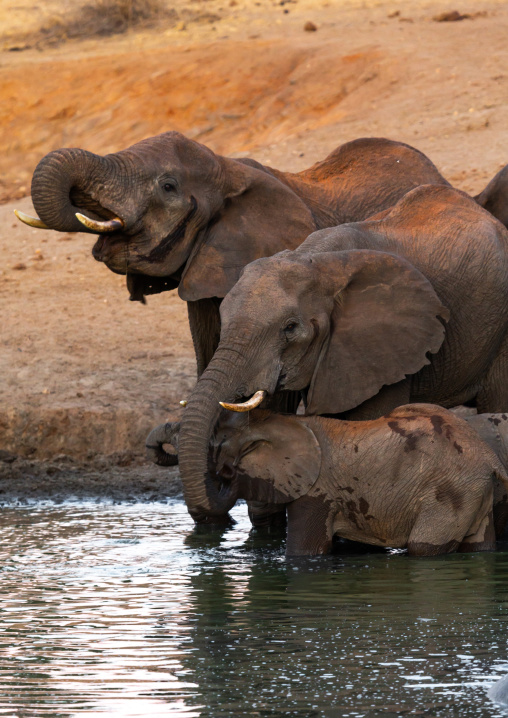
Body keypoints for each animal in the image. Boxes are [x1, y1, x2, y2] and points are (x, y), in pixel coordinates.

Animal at [206, 404, 508, 556]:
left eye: (218, 445)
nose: (226, 473)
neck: (286, 420)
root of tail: (490, 458)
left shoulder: (316, 492)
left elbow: (305, 552)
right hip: (474, 491)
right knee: (479, 544)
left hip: (449, 493)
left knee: (422, 548)